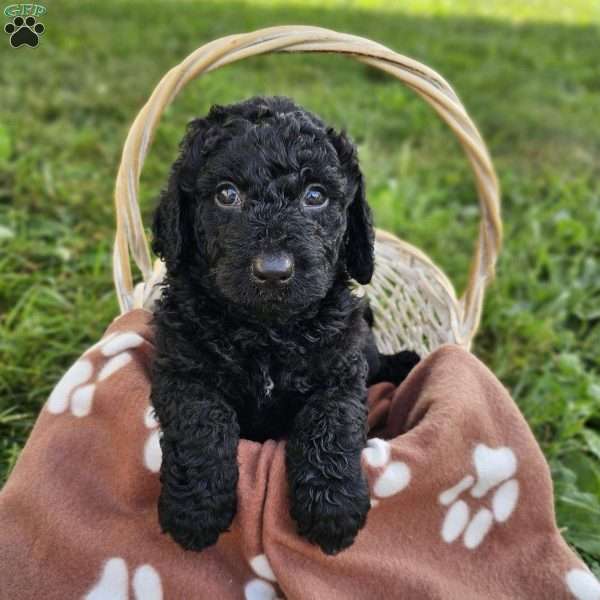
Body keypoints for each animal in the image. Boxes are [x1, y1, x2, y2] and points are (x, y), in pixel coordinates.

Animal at [150, 96, 418, 556]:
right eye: (227, 194)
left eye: (315, 196)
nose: (274, 271)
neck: (267, 333)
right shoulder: (181, 369)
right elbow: (200, 422)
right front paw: (196, 510)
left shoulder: (340, 373)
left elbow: (330, 425)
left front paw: (333, 509)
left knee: (378, 364)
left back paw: (407, 361)